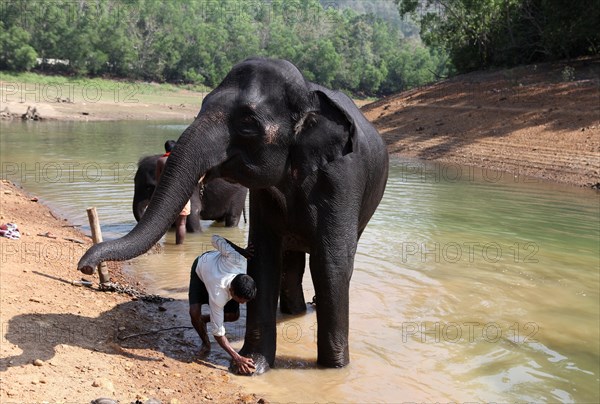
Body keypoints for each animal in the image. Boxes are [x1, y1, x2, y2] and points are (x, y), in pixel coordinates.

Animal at [78, 58, 390, 370]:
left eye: (248, 123)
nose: (86, 267)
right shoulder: (263, 193)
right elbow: (264, 258)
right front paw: (252, 366)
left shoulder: (342, 179)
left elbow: (331, 263)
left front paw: (334, 371)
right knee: (291, 264)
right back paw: (294, 314)